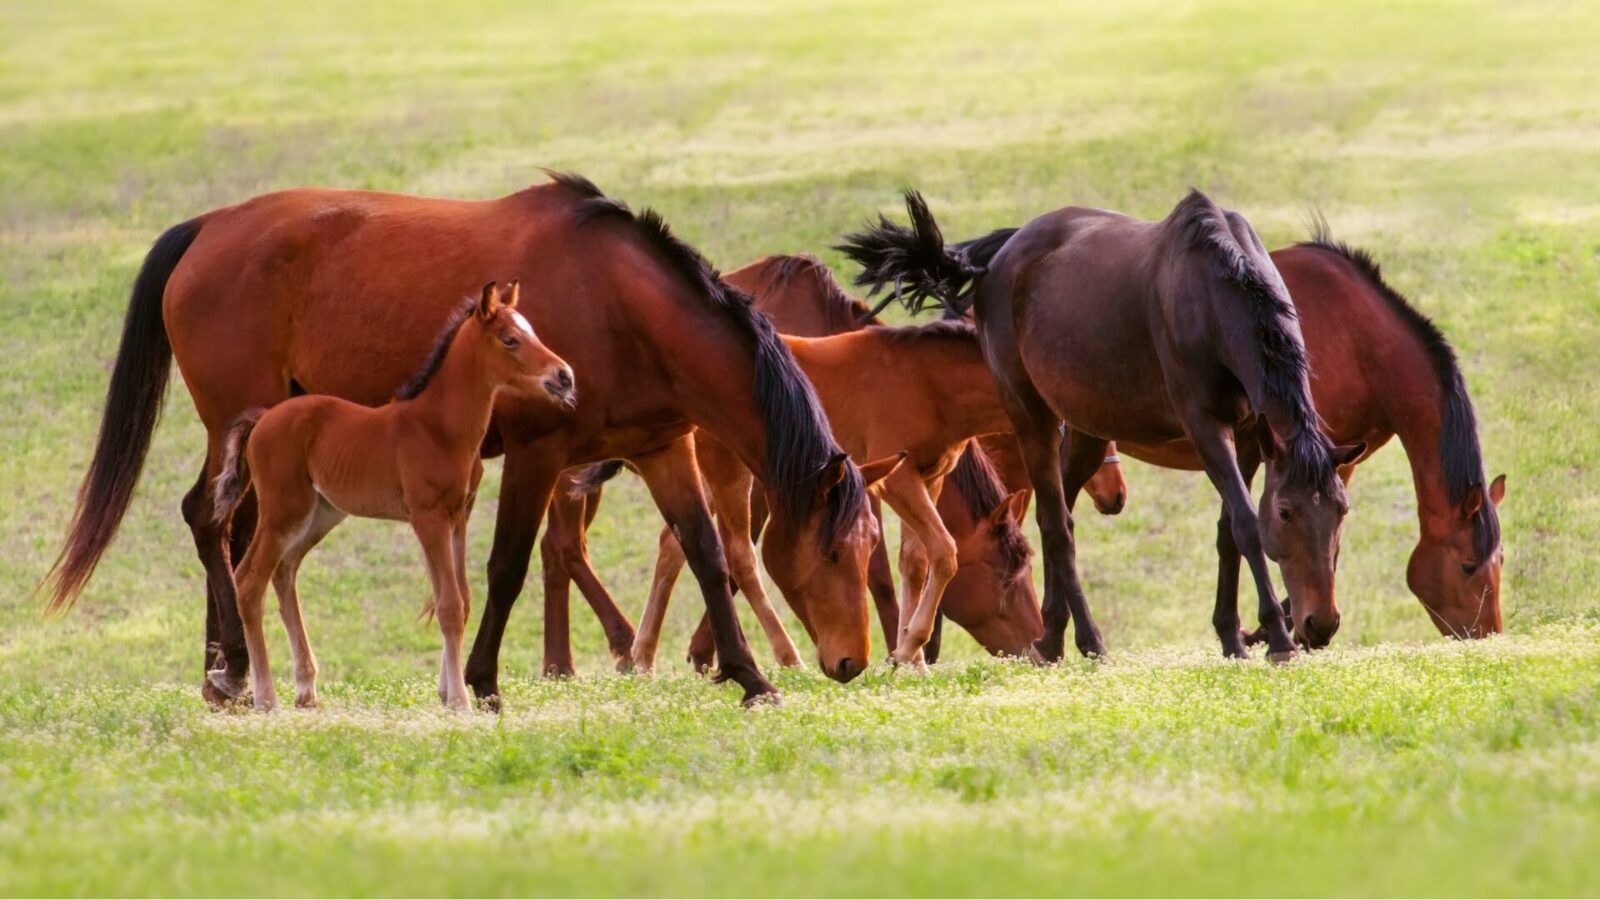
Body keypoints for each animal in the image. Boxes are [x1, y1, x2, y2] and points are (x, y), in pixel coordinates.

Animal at [207, 282, 573, 710]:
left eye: (532, 331)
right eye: (510, 339)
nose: (564, 376)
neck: (438, 428)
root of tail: (263, 418)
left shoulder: (457, 517)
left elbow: (460, 598)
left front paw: (447, 693)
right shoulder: (427, 517)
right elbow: (449, 605)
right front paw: (460, 702)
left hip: (322, 513)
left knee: (285, 570)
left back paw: (306, 689)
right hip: (284, 510)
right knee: (250, 581)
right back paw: (267, 699)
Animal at [840, 190, 1366, 663]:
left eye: (1340, 510)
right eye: (1287, 513)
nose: (1320, 624)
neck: (1213, 292)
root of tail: (1002, 255)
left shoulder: (1252, 434)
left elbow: (1228, 529)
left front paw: (1232, 638)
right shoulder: (1206, 427)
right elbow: (1244, 524)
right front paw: (1277, 640)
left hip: (1086, 431)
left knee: (1062, 516)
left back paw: (1053, 638)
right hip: (1030, 416)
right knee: (1055, 524)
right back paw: (1085, 641)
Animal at [1073, 230, 1506, 639]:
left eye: (1500, 561)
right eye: (1468, 566)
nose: (1488, 636)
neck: (1359, 341)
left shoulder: (1337, 462)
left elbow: (1325, 545)